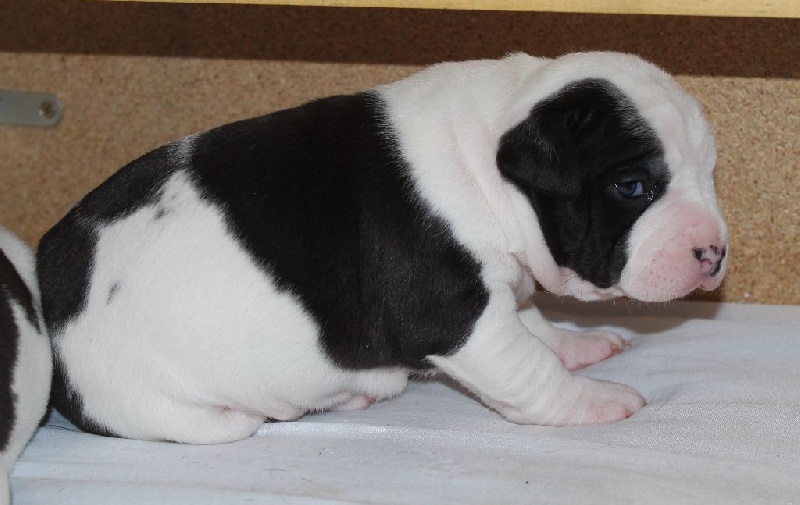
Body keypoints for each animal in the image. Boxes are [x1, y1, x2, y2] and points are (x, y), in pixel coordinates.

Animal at [37, 52, 728, 444]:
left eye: (709, 172)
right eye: (632, 188)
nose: (715, 251)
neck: (488, 159)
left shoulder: (499, 289)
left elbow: (532, 327)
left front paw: (576, 345)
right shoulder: (454, 318)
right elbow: (526, 365)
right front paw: (591, 403)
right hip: (187, 415)